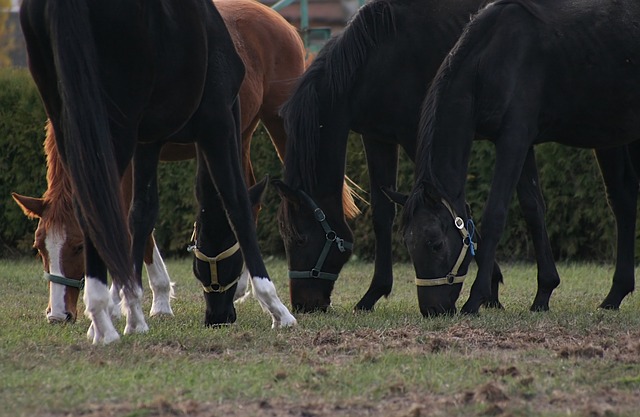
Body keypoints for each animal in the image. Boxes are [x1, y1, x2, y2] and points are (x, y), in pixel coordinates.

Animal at [12, 0, 306, 326]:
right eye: (39, 247)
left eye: (78, 246)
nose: (58, 314)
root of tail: (278, 20)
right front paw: (153, 298)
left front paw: (123, 299)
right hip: (239, 134)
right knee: (249, 198)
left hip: (271, 125)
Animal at [272, 0, 564, 314]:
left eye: (299, 239)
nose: (303, 305)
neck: (376, 57)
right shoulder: (378, 137)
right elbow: (383, 213)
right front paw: (374, 292)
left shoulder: (416, 138)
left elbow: (456, 210)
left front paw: (490, 287)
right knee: (532, 204)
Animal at [400, 0, 640, 314]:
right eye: (408, 244)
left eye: (435, 243)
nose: (432, 309)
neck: (493, 58)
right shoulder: (523, 146)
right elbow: (533, 209)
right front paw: (543, 293)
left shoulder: (513, 140)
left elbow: (495, 215)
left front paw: (476, 300)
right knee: (623, 200)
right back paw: (615, 295)